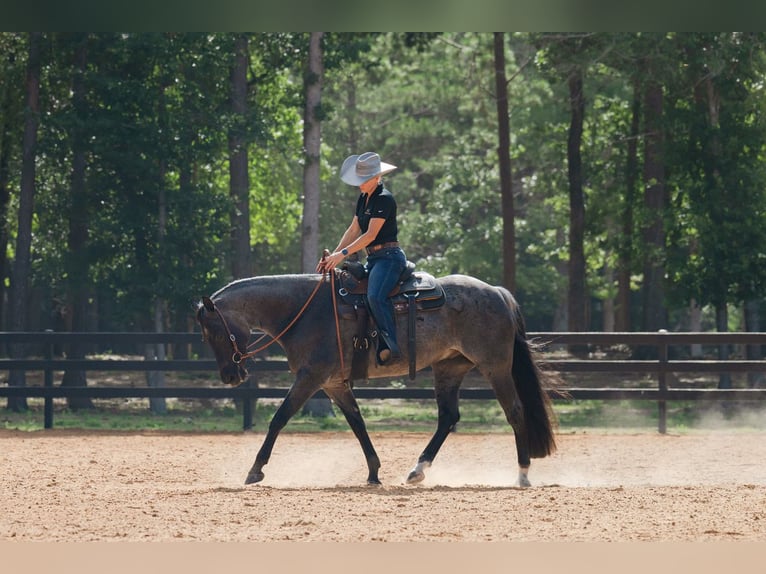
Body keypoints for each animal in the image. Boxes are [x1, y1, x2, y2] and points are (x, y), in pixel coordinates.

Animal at [196, 271, 558, 487]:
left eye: (214, 331)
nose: (230, 376)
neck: (303, 311)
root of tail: (497, 292)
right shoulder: (334, 383)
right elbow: (357, 424)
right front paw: (373, 472)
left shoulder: (311, 377)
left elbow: (279, 418)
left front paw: (255, 470)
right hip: (449, 368)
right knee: (448, 418)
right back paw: (417, 470)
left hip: (495, 367)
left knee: (515, 412)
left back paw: (523, 474)